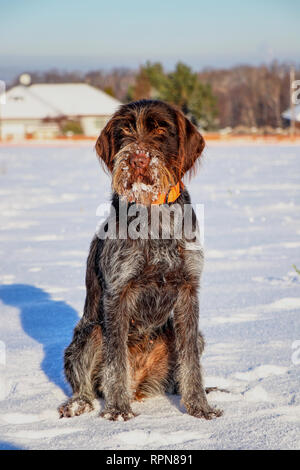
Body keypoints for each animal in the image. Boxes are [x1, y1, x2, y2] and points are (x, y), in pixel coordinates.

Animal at [59, 100, 223, 422]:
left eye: (161, 129)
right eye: (124, 130)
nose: (137, 159)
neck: (154, 216)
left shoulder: (188, 291)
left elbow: (190, 361)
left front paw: (200, 407)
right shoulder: (118, 292)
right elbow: (116, 360)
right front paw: (118, 410)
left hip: (191, 336)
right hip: (90, 333)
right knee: (86, 384)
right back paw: (79, 403)